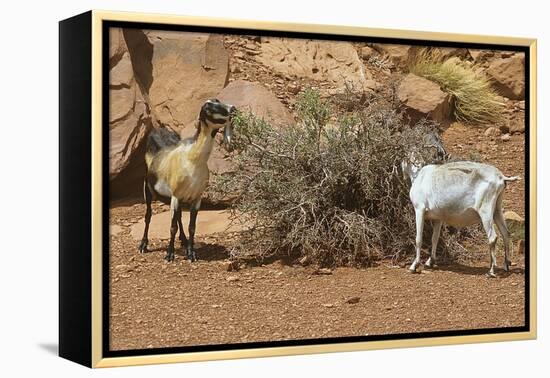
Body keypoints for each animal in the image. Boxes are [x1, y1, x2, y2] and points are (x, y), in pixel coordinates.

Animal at [139, 99, 236, 262]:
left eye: (218, 101)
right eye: (209, 108)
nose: (233, 109)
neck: (193, 159)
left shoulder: (196, 198)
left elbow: (192, 226)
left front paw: (192, 254)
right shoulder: (176, 196)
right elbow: (172, 227)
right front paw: (169, 255)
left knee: (178, 217)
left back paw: (184, 241)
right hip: (147, 188)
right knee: (148, 216)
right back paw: (143, 245)